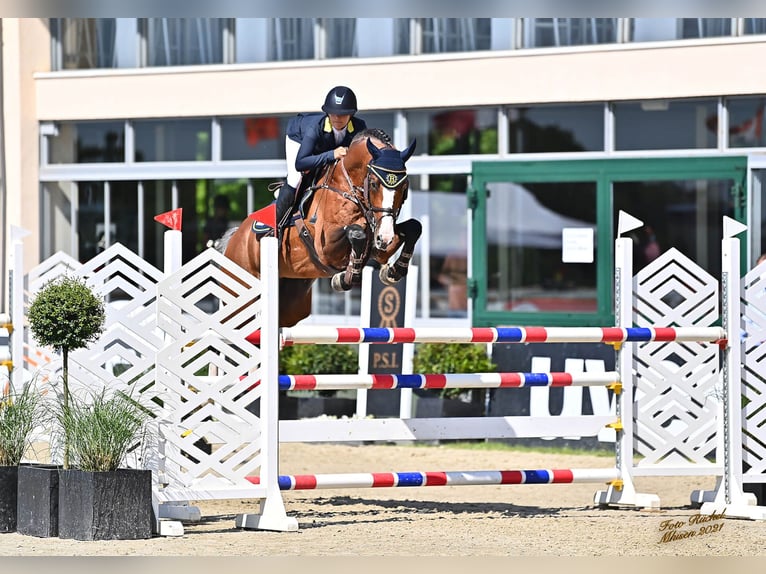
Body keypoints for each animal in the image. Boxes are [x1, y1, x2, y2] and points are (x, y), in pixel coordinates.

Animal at [222, 130, 424, 328]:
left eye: (404, 186)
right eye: (374, 184)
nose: (385, 238)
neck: (347, 187)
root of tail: (234, 238)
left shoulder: (378, 244)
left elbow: (415, 227)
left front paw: (393, 271)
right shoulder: (325, 248)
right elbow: (356, 233)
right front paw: (343, 279)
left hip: (292, 304)